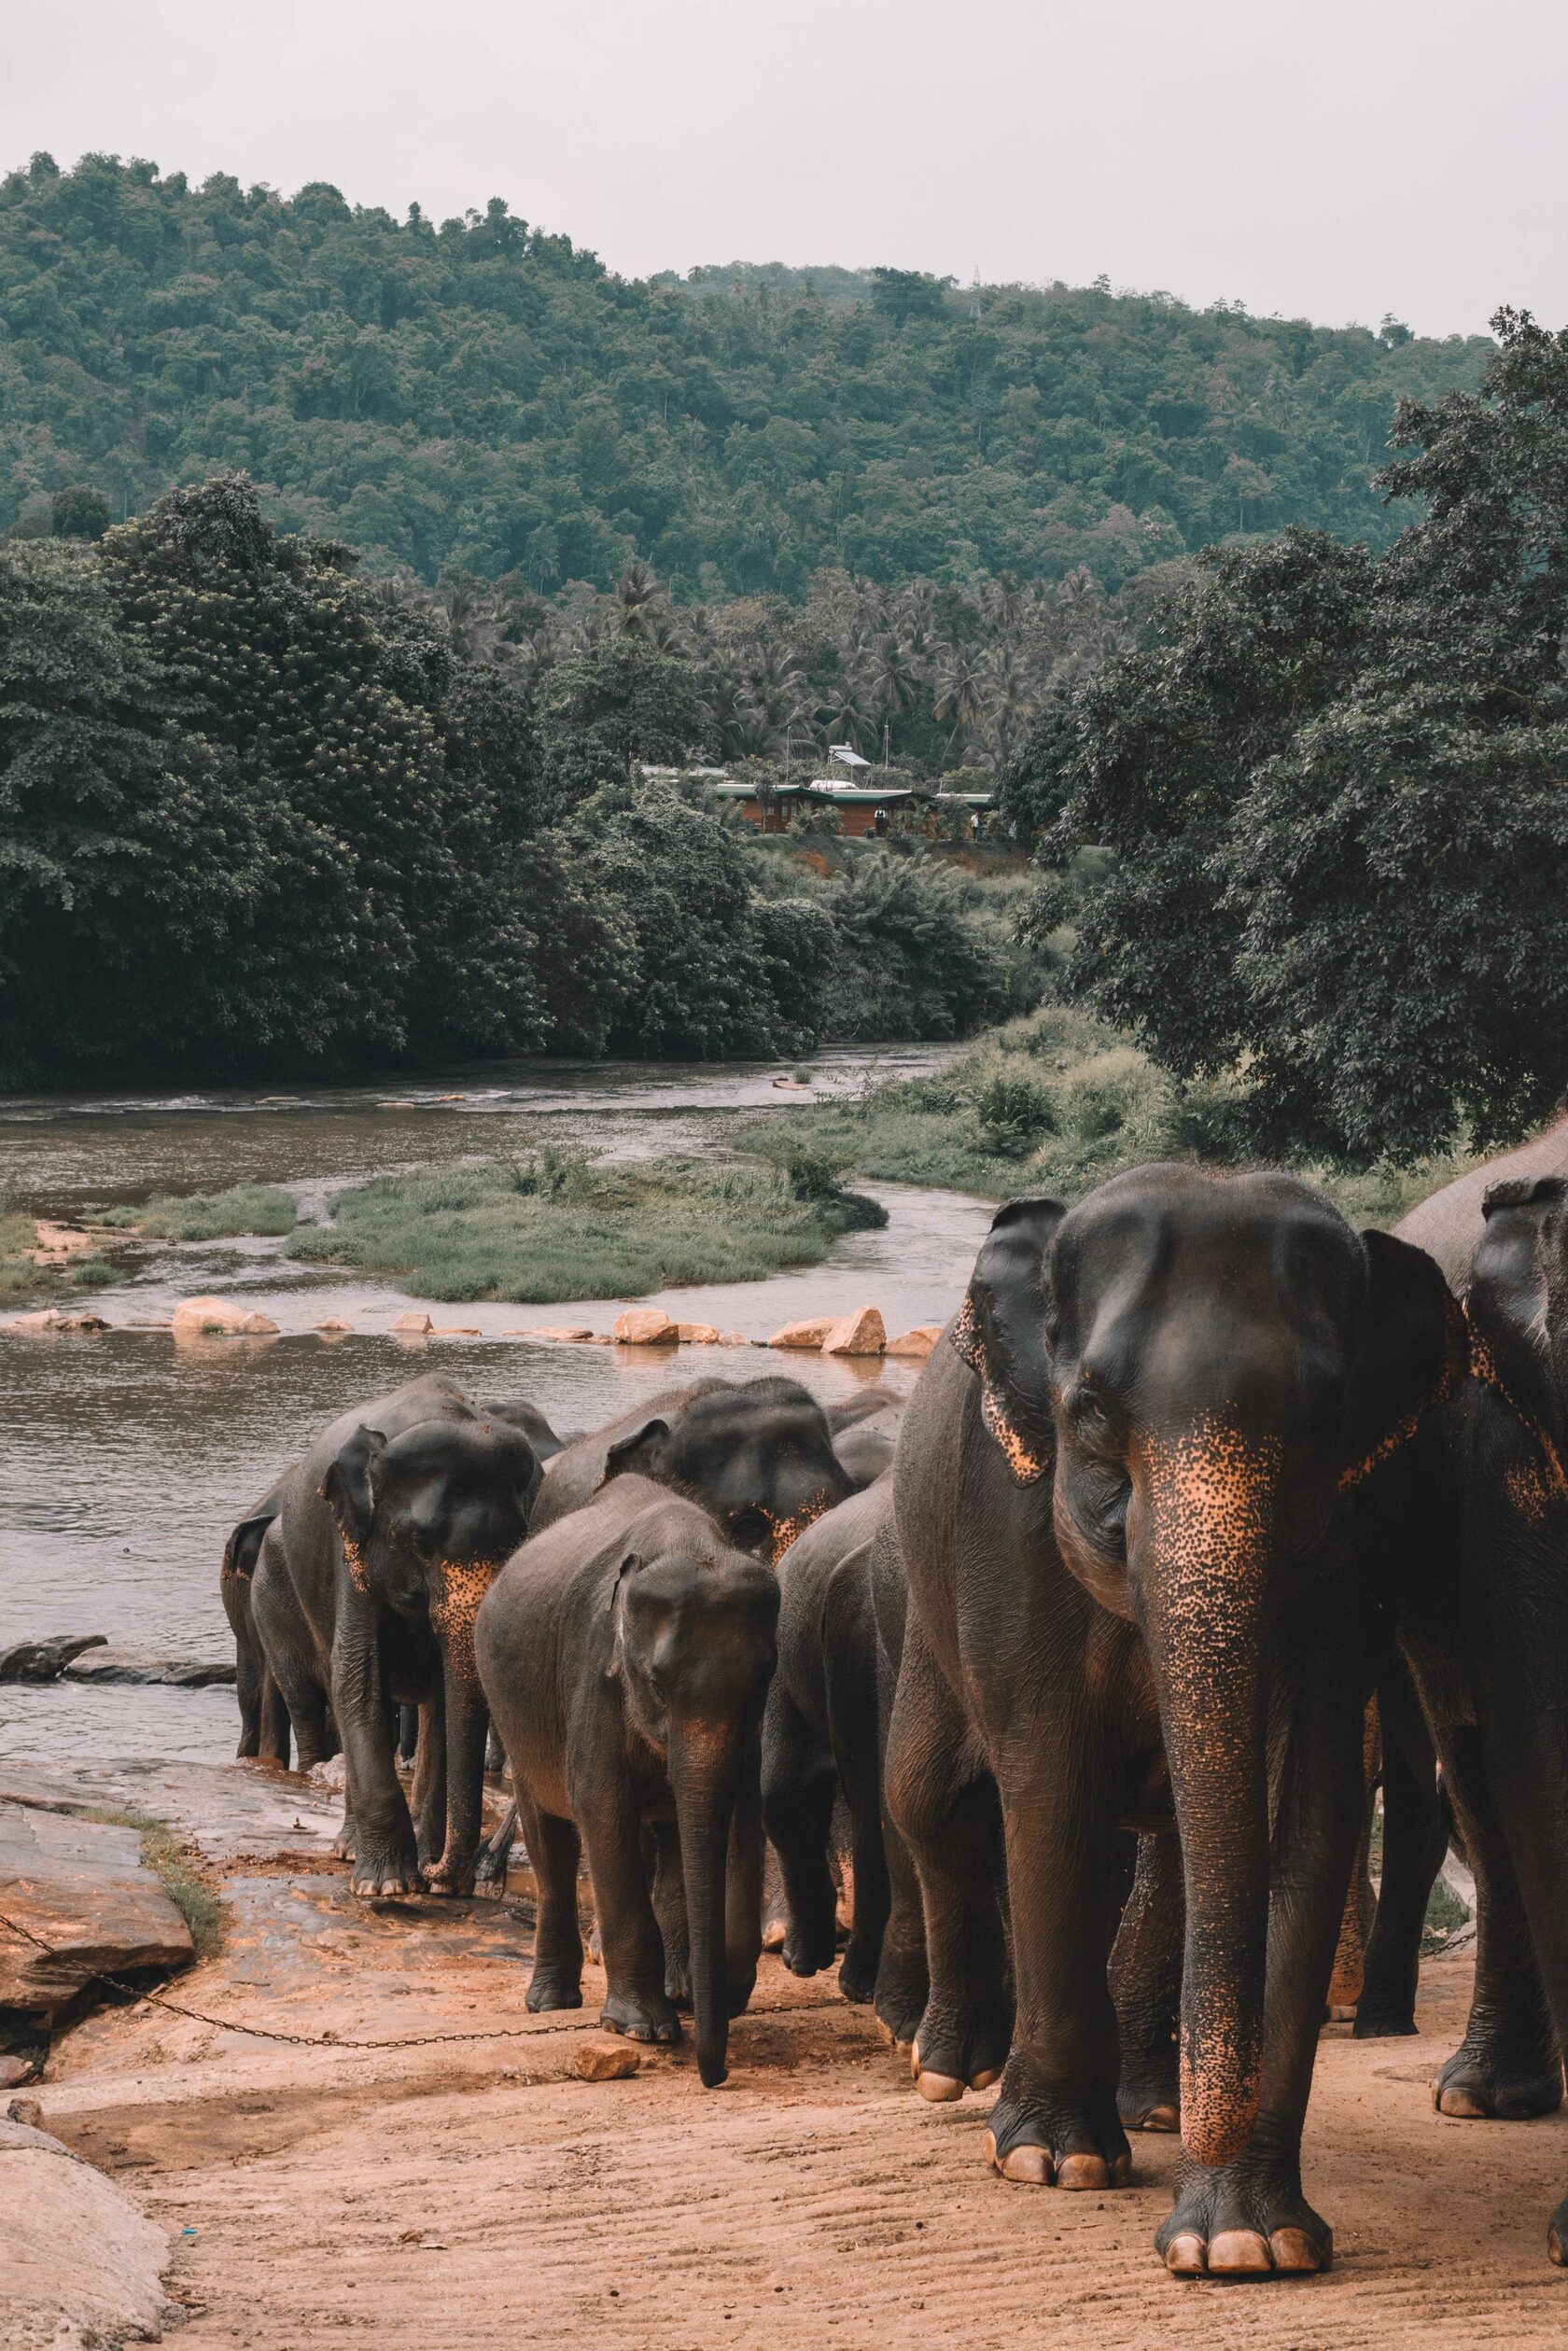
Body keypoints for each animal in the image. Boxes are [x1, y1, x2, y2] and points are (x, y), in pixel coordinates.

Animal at [266, 1373, 542, 1899]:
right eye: (420, 1543)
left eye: (518, 1543)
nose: (443, 1875)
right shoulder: (351, 1549)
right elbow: (357, 1678)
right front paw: (388, 1886)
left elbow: (444, 1698)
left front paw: (425, 1873)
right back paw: (350, 1850)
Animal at [472, 1476, 780, 2087]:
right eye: (656, 1683)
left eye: (761, 1682)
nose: (715, 2076)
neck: (689, 1545)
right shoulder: (593, 1673)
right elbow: (602, 1808)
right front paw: (643, 2029)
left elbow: (736, 1813)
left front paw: (710, 1995)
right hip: (517, 1716)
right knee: (552, 1840)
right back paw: (551, 2003)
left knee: (665, 1838)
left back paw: (676, 1989)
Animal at [884, 1170, 1457, 2275]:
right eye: (1091, 1408)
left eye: (1324, 1417)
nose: (1209, 2137)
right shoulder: (1006, 1519)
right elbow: (1050, 1790)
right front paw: (1055, 2163)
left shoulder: (1363, 1535)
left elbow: (1306, 1811)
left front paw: (1248, 2240)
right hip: (925, 1598)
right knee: (931, 1798)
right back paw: (953, 2072)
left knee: (1177, 1849)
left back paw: (1152, 2106)